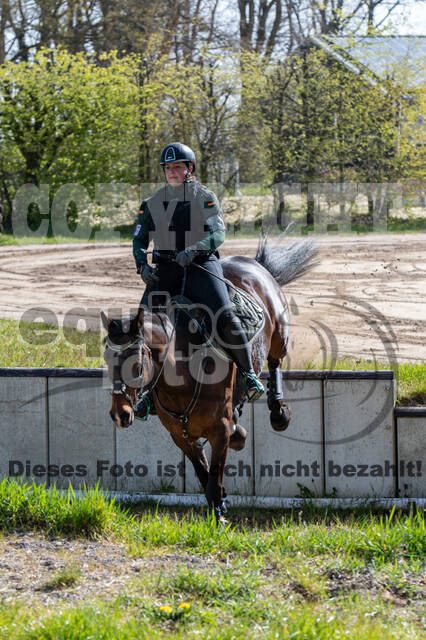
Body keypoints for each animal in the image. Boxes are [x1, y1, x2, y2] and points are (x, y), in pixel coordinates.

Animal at [102, 235, 316, 520]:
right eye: (107, 360)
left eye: (136, 363)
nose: (120, 414)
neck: (182, 377)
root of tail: (255, 264)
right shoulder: (181, 435)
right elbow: (204, 475)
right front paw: (221, 501)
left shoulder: (220, 430)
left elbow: (214, 478)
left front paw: (220, 514)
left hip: (279, 336)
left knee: (275, 362)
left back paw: (278, 411)